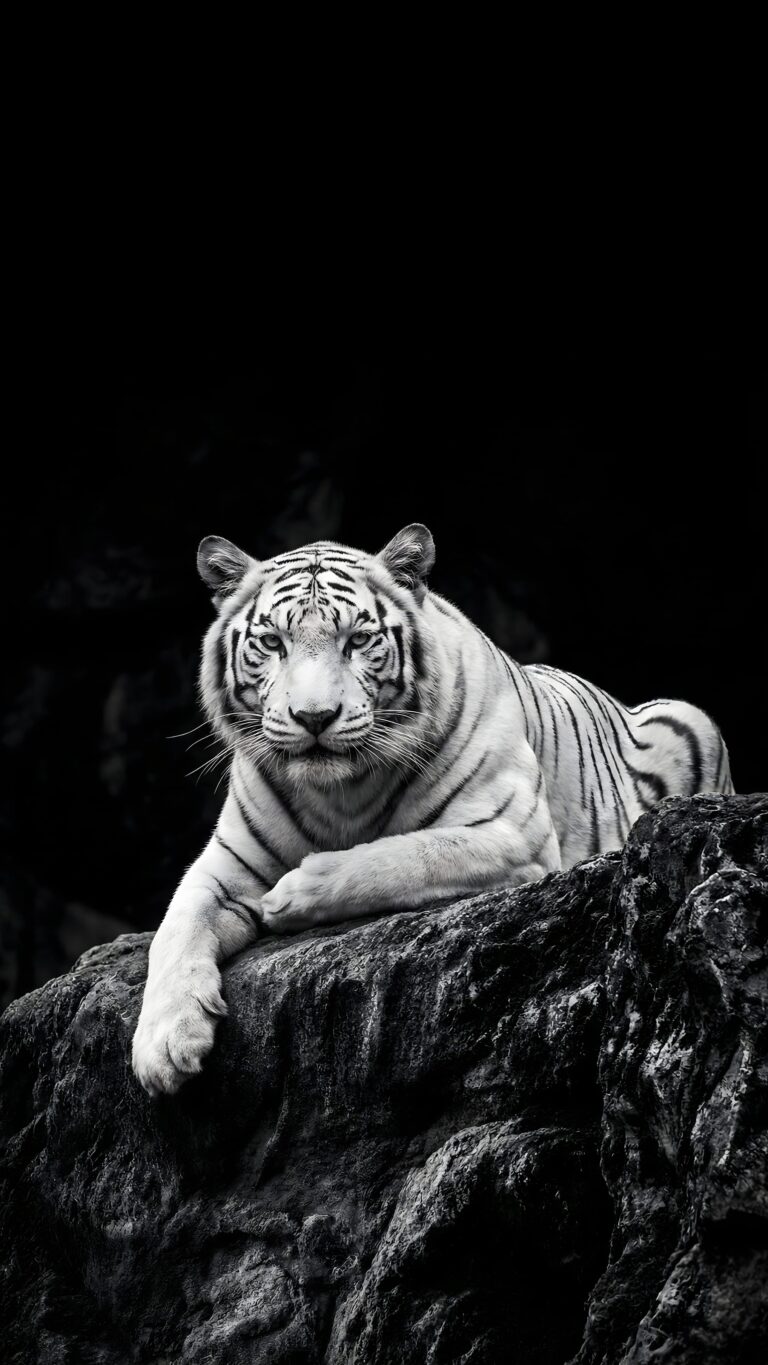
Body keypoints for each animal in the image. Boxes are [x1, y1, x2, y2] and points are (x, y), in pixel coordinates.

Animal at [131, 523, 734, 1095]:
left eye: (357, 640)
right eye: (273, 642)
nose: (315, 717)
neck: (337, 794)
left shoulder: (513, 834)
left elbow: (399, 857)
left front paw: (290, 897)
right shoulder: (227, 864)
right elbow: (175, 926)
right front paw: (162, 1047)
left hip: (690, 719)